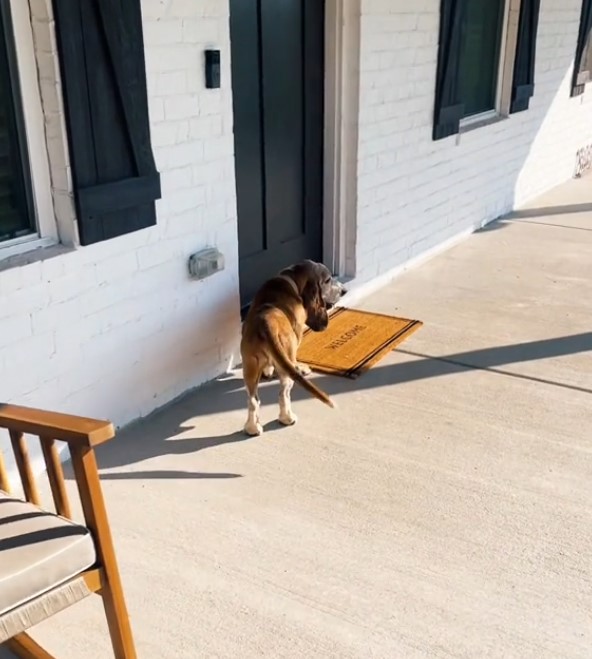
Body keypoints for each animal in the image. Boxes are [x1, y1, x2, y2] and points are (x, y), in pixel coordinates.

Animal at [240, 260, 346, 436]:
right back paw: (287, 418)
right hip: (286, 368)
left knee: (253, 400)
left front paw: (268, 370)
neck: (292, 279)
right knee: (284, 393)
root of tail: (265, 322)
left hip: (250, 367)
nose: (344, 290)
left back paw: (252, 428)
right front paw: (301, 367)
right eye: (328, 280)